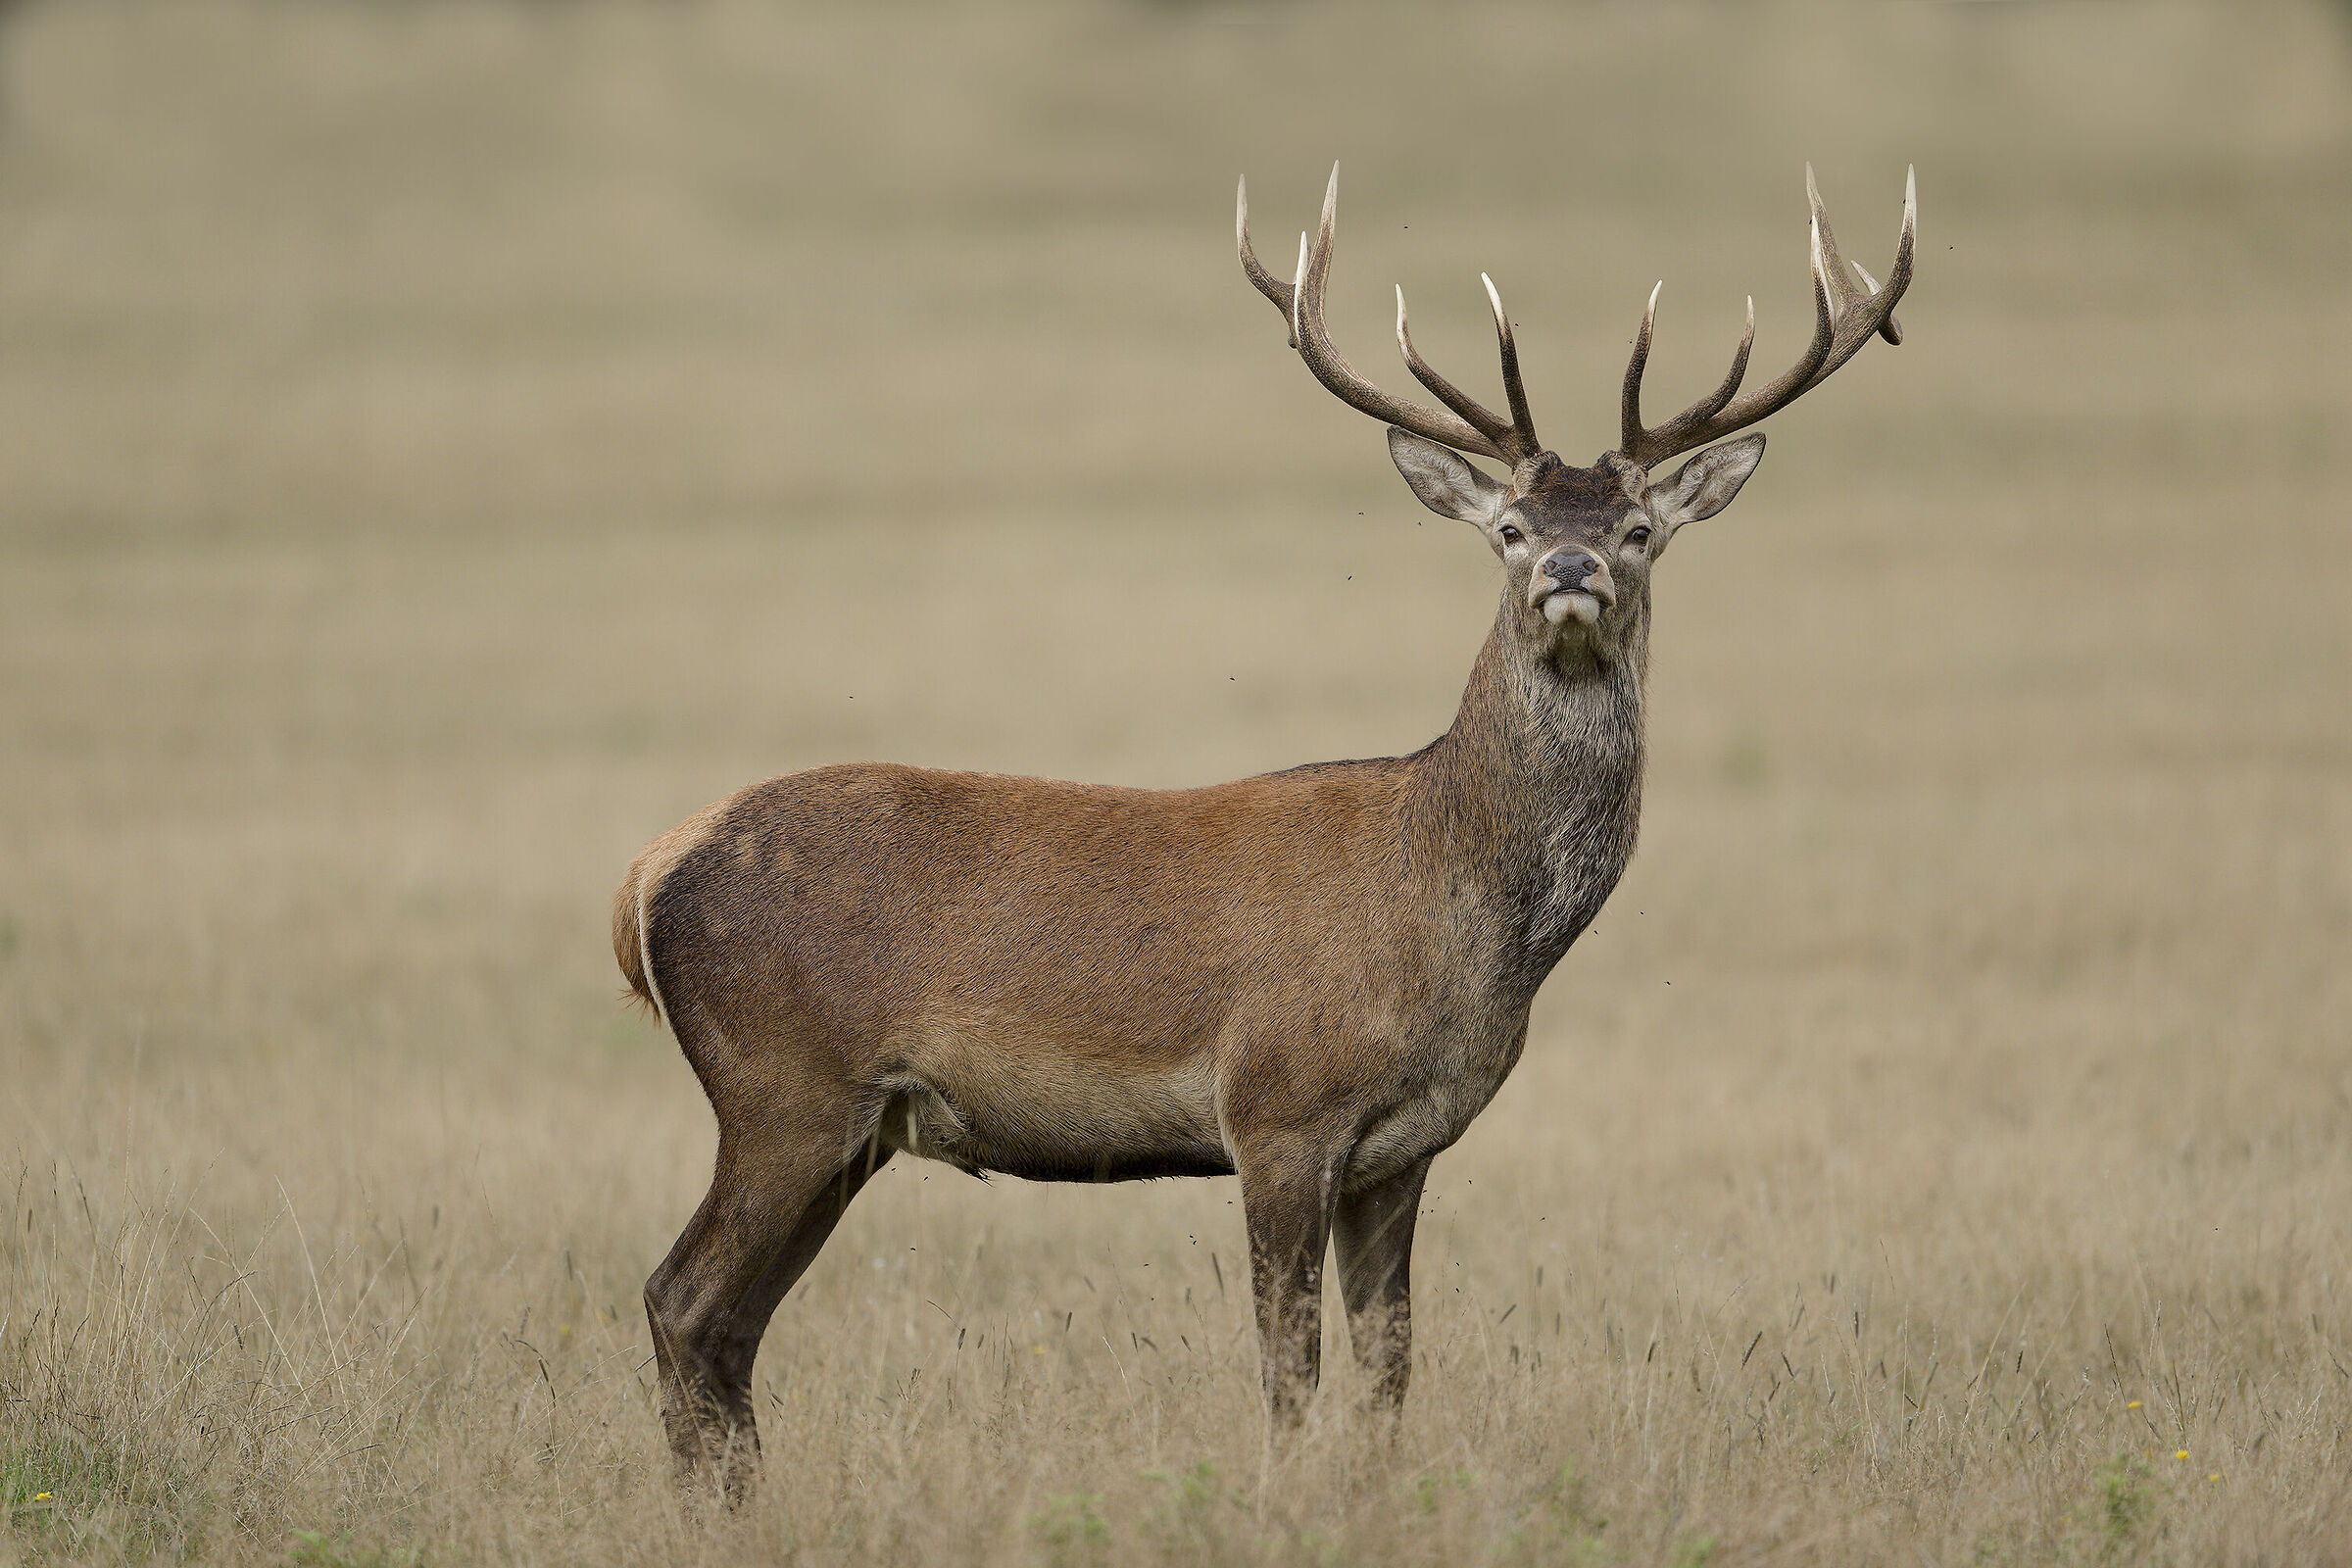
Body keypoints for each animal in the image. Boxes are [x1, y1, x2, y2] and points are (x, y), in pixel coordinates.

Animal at [615, 161, 1914, 1492]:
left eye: (1640, 528)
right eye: (1507, 526)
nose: (1569, 568)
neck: (1459, 913)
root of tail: (648, 873)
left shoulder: (1404, 1149)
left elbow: (1389, 1367)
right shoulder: (1279, 1107)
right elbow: (1290, 1368)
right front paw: (1284, 1497)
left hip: (848, 1123)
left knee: (725, 1325)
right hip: (781, 1084)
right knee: (680, 1298)